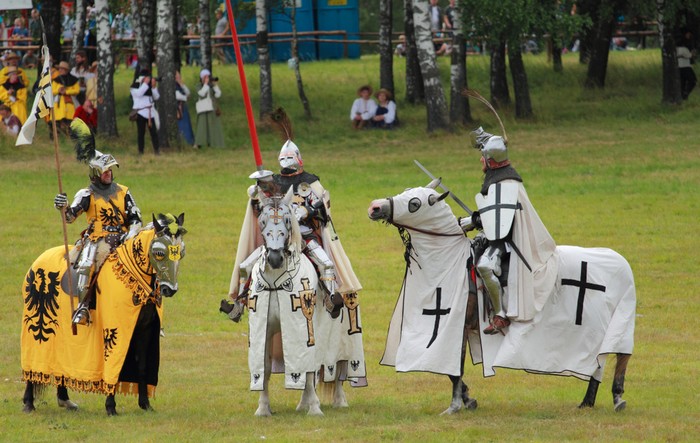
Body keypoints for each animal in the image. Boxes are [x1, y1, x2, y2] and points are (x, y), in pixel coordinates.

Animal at [370, 180, 636, 416]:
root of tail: (621, 262)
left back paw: (618, 398)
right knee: (599, 360)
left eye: (415, 203)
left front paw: (455, 406)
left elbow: (453, 369)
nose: (375, 206)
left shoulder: (452, 327)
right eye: (406, 191)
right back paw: (587, 402)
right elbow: (451, 371)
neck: (447, 260)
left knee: (620, 356)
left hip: (618, 323)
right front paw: (468, 399)